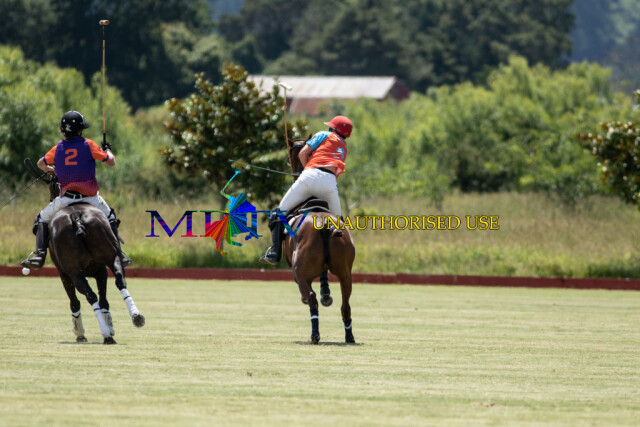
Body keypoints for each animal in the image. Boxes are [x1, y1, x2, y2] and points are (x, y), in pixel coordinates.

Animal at [41, 174, 145, 344]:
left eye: (51, 187)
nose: (51, 197)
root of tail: (76, 215)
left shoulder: (64, 274)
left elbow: (75, 302)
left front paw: (80, 332)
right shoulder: (100, 270)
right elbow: (104, 300)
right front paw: (110, 325)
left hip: (74, 273)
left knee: (90, 296)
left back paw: (105, 332)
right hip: (111, 257)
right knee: (119, 281)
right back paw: (135, 317)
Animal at [283, 141, 356, 344]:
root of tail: (324, 224)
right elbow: (324, 275)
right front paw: (327, 294)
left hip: (301, 272)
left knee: (311, 297)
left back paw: (314, 335)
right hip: (346, 273)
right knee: (346, 305)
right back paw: (349, 336)